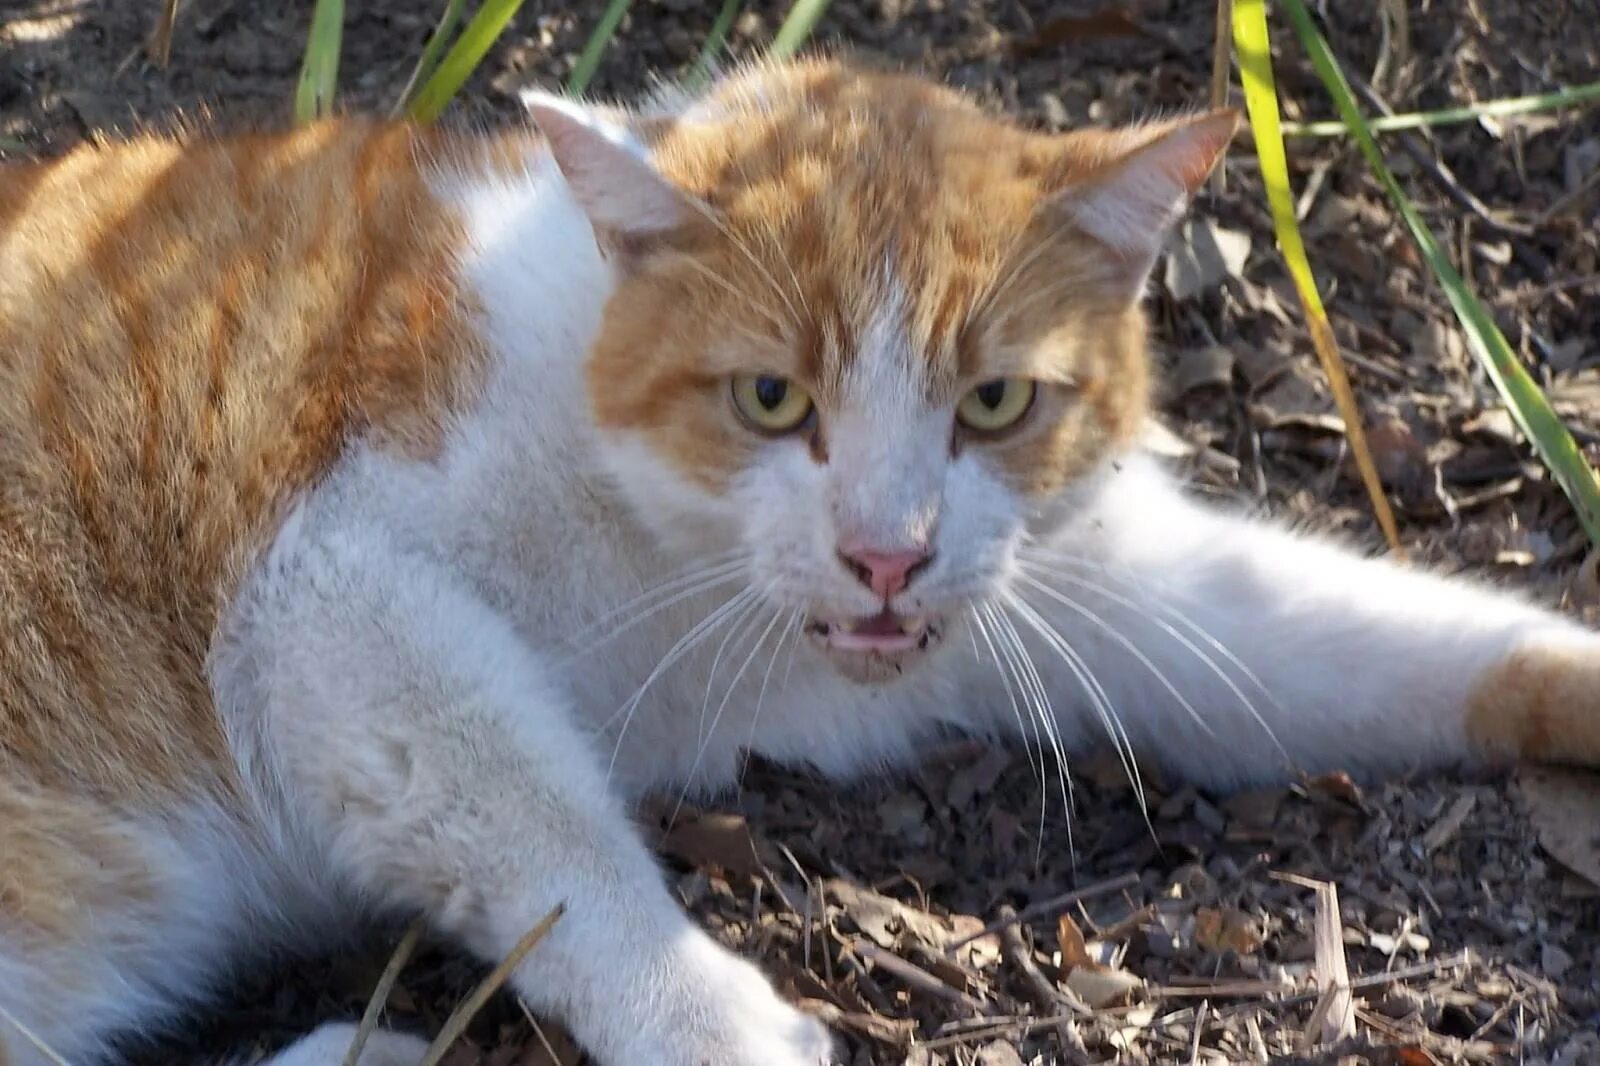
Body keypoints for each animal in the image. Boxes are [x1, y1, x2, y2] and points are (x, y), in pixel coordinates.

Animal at [3, 56, 1600, 1062]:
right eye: (772, 397)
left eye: (994, 403)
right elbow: (541, 823)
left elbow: (1377, 640)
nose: (886, 555)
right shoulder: (323, 594)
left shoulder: (1108, 592)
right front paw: (703, 1015)